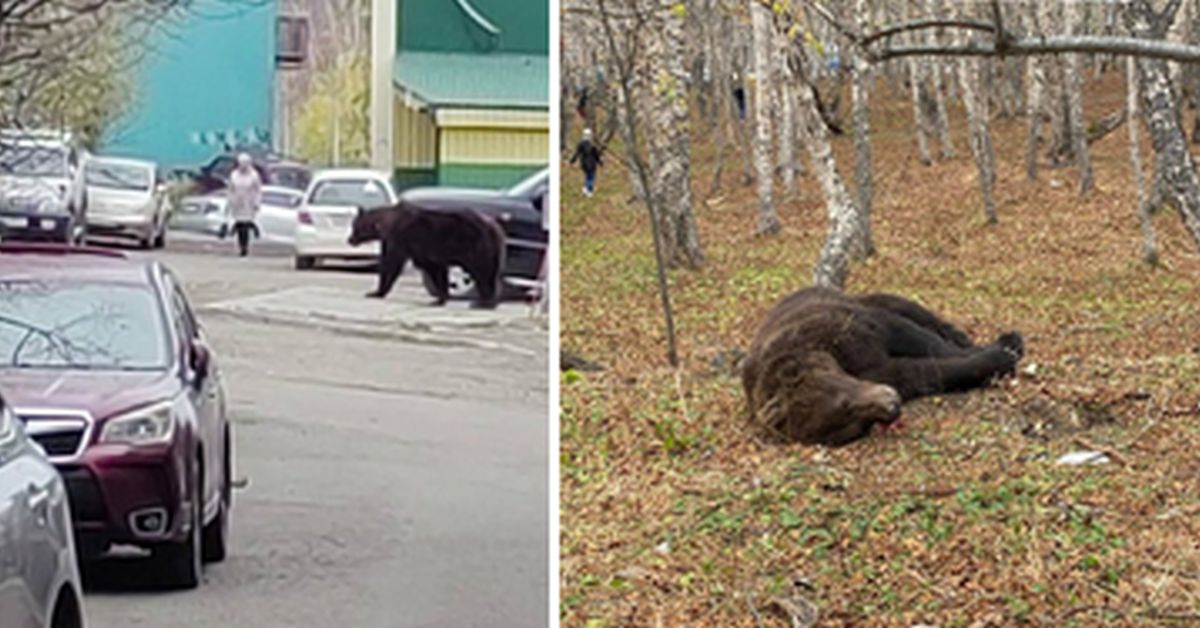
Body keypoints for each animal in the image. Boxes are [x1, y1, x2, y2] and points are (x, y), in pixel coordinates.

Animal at [348, 202, 506, 307]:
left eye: (355, 227)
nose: (350, 240)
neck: (386, 224)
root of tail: (496, 227)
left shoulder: (402, 239)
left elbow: (393, 264)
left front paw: (377, 292)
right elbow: (438, 270)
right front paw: (441, 297)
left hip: (478, 247)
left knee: (483, 272)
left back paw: (483, 302)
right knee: (491, 272)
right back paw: (488, 300)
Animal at [739, 289, 1022, 446]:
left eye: (845, 404)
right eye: (853, 427)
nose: (892, 406)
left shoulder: (853, 330)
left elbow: (922, 340)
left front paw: (1003, 351)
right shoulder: (882, 372)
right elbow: (923, 373)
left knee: (912, 312)